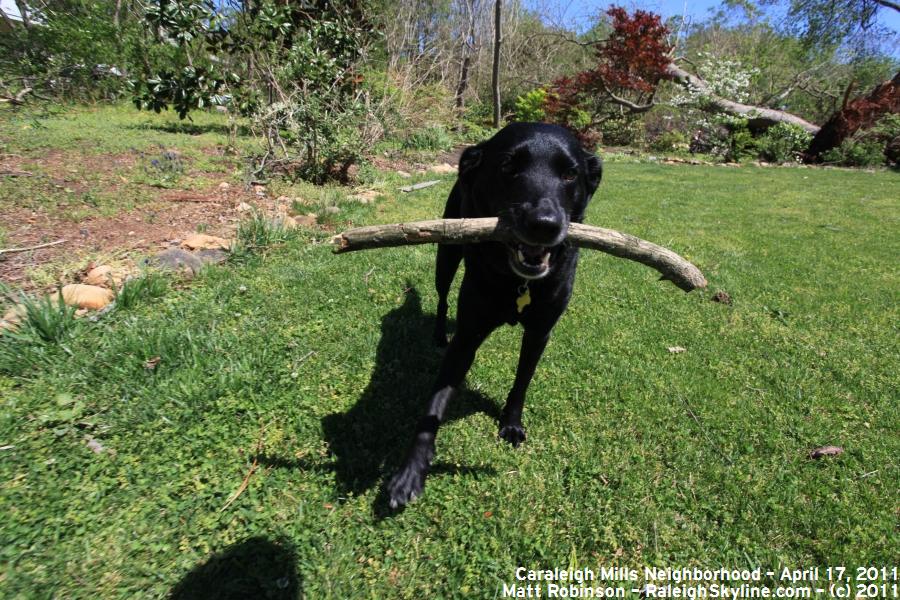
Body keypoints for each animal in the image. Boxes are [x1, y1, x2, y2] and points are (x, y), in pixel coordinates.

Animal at [384, 124, 600, 508]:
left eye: (570, 174)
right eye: (508, 167)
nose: (544, 224)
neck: (517, 282)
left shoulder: (540, 332)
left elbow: (522, 381)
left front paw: (511, 424)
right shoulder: (467, 336)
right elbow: (433, 405)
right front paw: (410, 471)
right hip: (447, 250)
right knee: (442, 296)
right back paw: (438, 334)